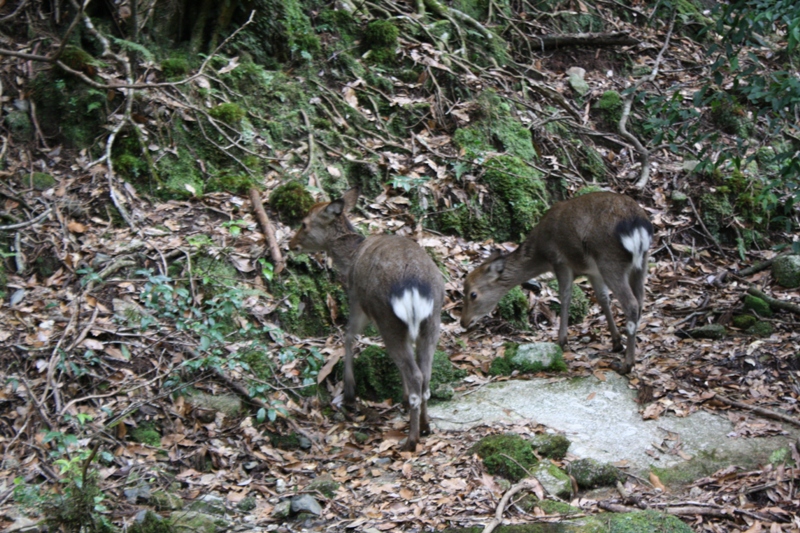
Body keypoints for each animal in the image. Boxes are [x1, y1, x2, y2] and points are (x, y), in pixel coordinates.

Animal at [288, 187, 444, 448]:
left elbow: (348, 336)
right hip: (432, 322)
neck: (350, 256)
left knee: (415, 375)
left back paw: (410, 439)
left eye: (304, 223)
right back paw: (426, 425)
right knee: (425, 376)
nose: (291, 244)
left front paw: (350, 392)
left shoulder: (356, 299)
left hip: (388, 319)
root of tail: (413, 288)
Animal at [460, 192, 652, 374]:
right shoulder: (592, 271)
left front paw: (561, 341)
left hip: (609, 261)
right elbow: (603, 298)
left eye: (473, 294)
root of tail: (638, 226)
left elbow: (565, 297)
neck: (541, 252)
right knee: (640, 301)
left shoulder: (560, 261)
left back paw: (627, 365)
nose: (463, 322)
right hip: (641, 262)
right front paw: (616, 342)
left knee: (631, 304)